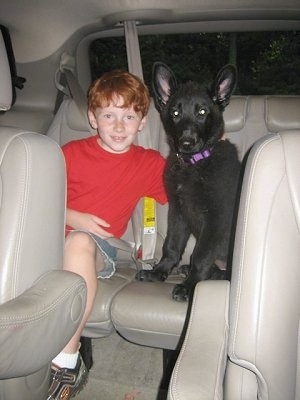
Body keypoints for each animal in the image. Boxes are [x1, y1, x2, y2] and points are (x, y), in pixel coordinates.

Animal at [137, 61, 240, 300]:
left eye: (202, 112)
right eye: (175, 112)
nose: (186, 142)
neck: (193, 164)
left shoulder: (216, 218)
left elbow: (201, 254)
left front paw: (190, 285)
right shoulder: (178, 211)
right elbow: (172, 246)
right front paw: (159, 272)